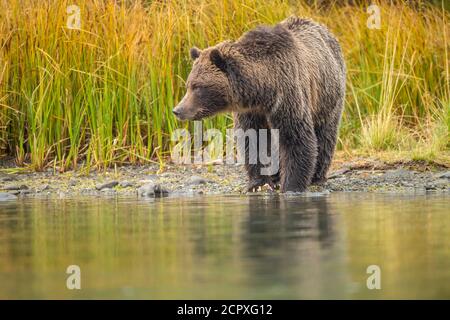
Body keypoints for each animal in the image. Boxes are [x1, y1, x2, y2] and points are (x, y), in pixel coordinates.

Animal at [172, 16, 344, 192]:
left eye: (198, 87)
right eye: (188, 85)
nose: (177, 110)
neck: (262, 91)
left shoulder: (287, 97)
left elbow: (296, 138)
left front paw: (291, 185)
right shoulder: (250, 111)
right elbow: (253, 139)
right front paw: (257, 183)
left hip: (328, 97)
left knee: (325, 134)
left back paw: (317, 176)